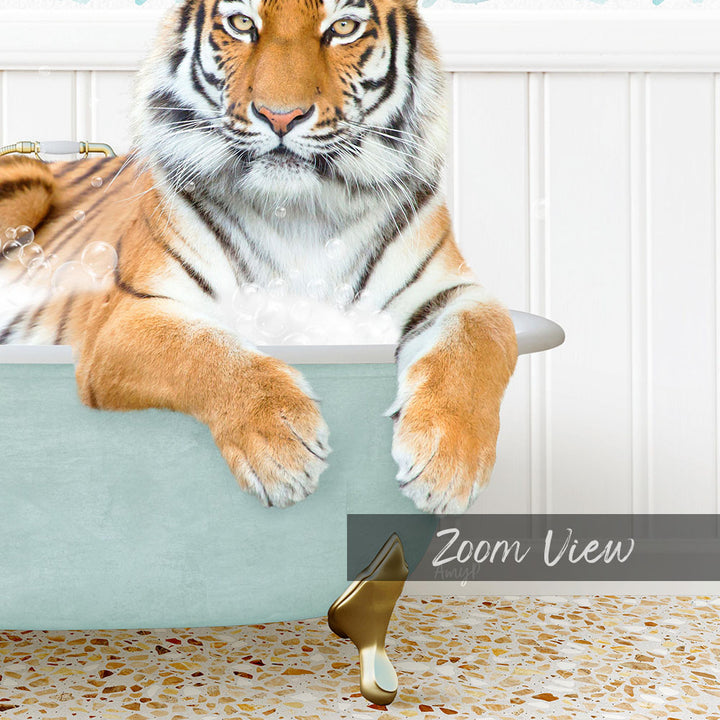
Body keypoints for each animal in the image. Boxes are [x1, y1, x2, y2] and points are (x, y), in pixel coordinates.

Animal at [0, 0, 517, 514]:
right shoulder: (127, 316)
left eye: (343, 27)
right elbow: (205, 350)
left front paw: (447, 463)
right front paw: (282, 447)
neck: (300, 213)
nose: (281, 116)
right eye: (242, 23)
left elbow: (480, 340)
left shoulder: (454, 292)